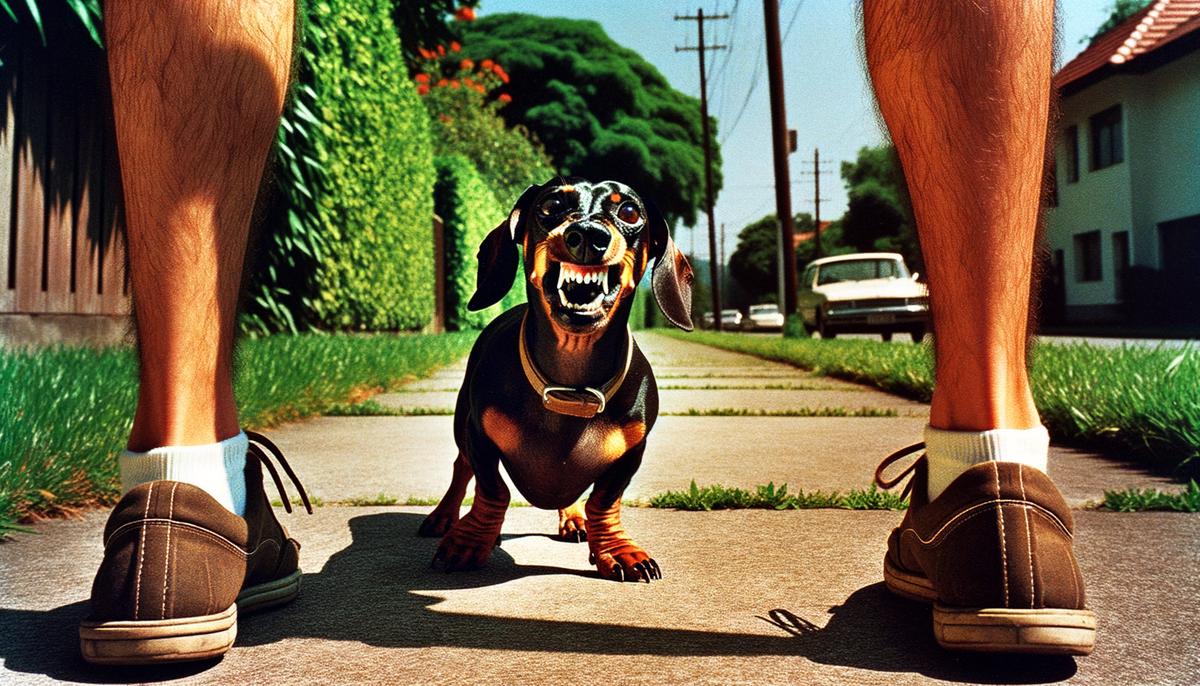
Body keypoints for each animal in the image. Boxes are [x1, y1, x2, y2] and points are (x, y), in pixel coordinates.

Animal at [417, 178, 696, 585]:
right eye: (551, 205)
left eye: (629, 211)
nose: (587, 236)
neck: (570, 385)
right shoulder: (479, 436)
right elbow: (493, 489)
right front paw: (470, 542)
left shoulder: (632, 453)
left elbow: (603, 501)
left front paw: (618, 551)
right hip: (461, 423)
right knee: (461, 468)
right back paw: (444, 517)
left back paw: (573, 517)